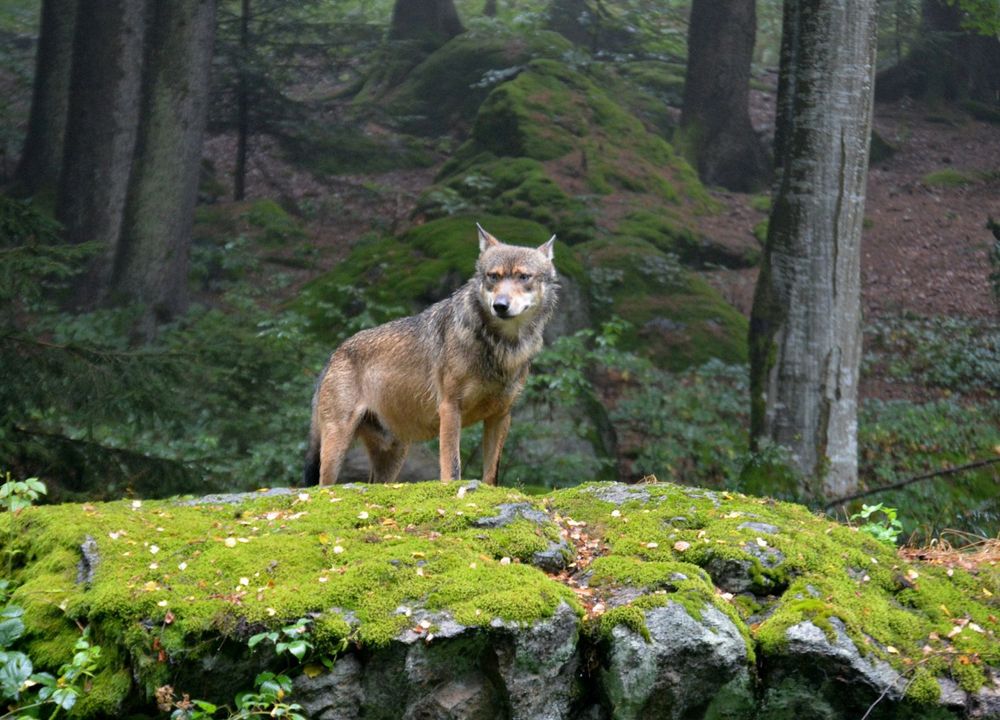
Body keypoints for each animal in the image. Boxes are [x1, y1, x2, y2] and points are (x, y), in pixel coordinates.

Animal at [300, 222, 560, 486]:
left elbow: (491, 474)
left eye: (523, 276)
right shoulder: (449, 408)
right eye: (493, 276)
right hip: (336, 447)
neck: (500, 345)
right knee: (322, 485)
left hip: (393, 456)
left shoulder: (501, 415)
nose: (500, 305)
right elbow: (452, 466)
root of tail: (334, 354)